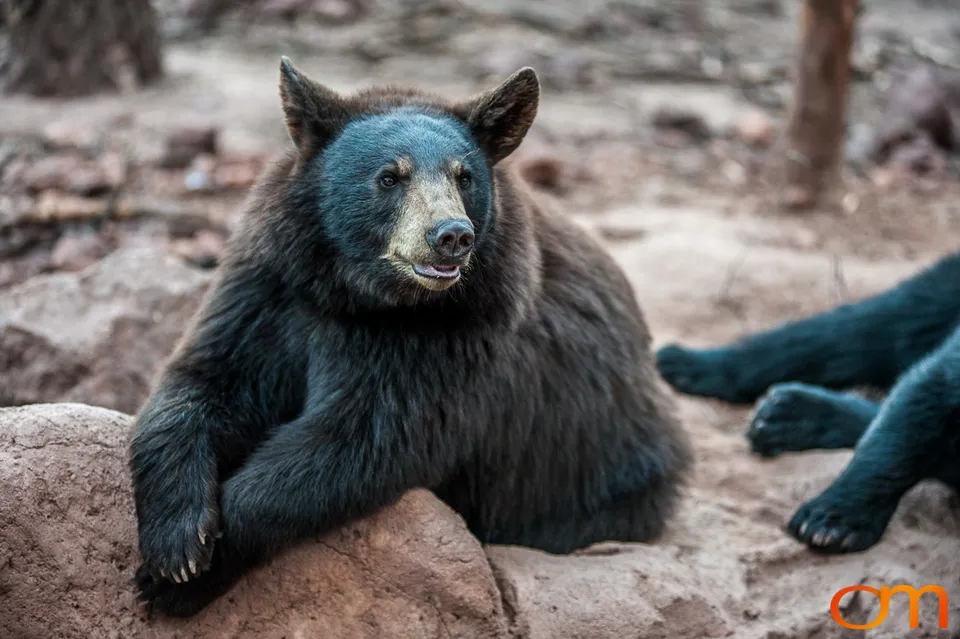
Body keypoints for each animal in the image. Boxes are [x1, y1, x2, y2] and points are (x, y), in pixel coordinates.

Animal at [129, 58, 692, 617]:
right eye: (389, 176)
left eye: (464, 176)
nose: (452, 235)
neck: (362, 297)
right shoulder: (274, 292)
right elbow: (207, 380)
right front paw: (177, 543)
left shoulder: (452, 336)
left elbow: (365, 439)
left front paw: (179, 581)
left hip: (591, 466)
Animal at [656, 250, 960, 554]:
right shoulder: (947, 368)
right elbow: (900, 433)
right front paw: (829, 522)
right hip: (926, 301)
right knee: (856, 330)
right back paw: (686, 365)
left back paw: (786, 417)